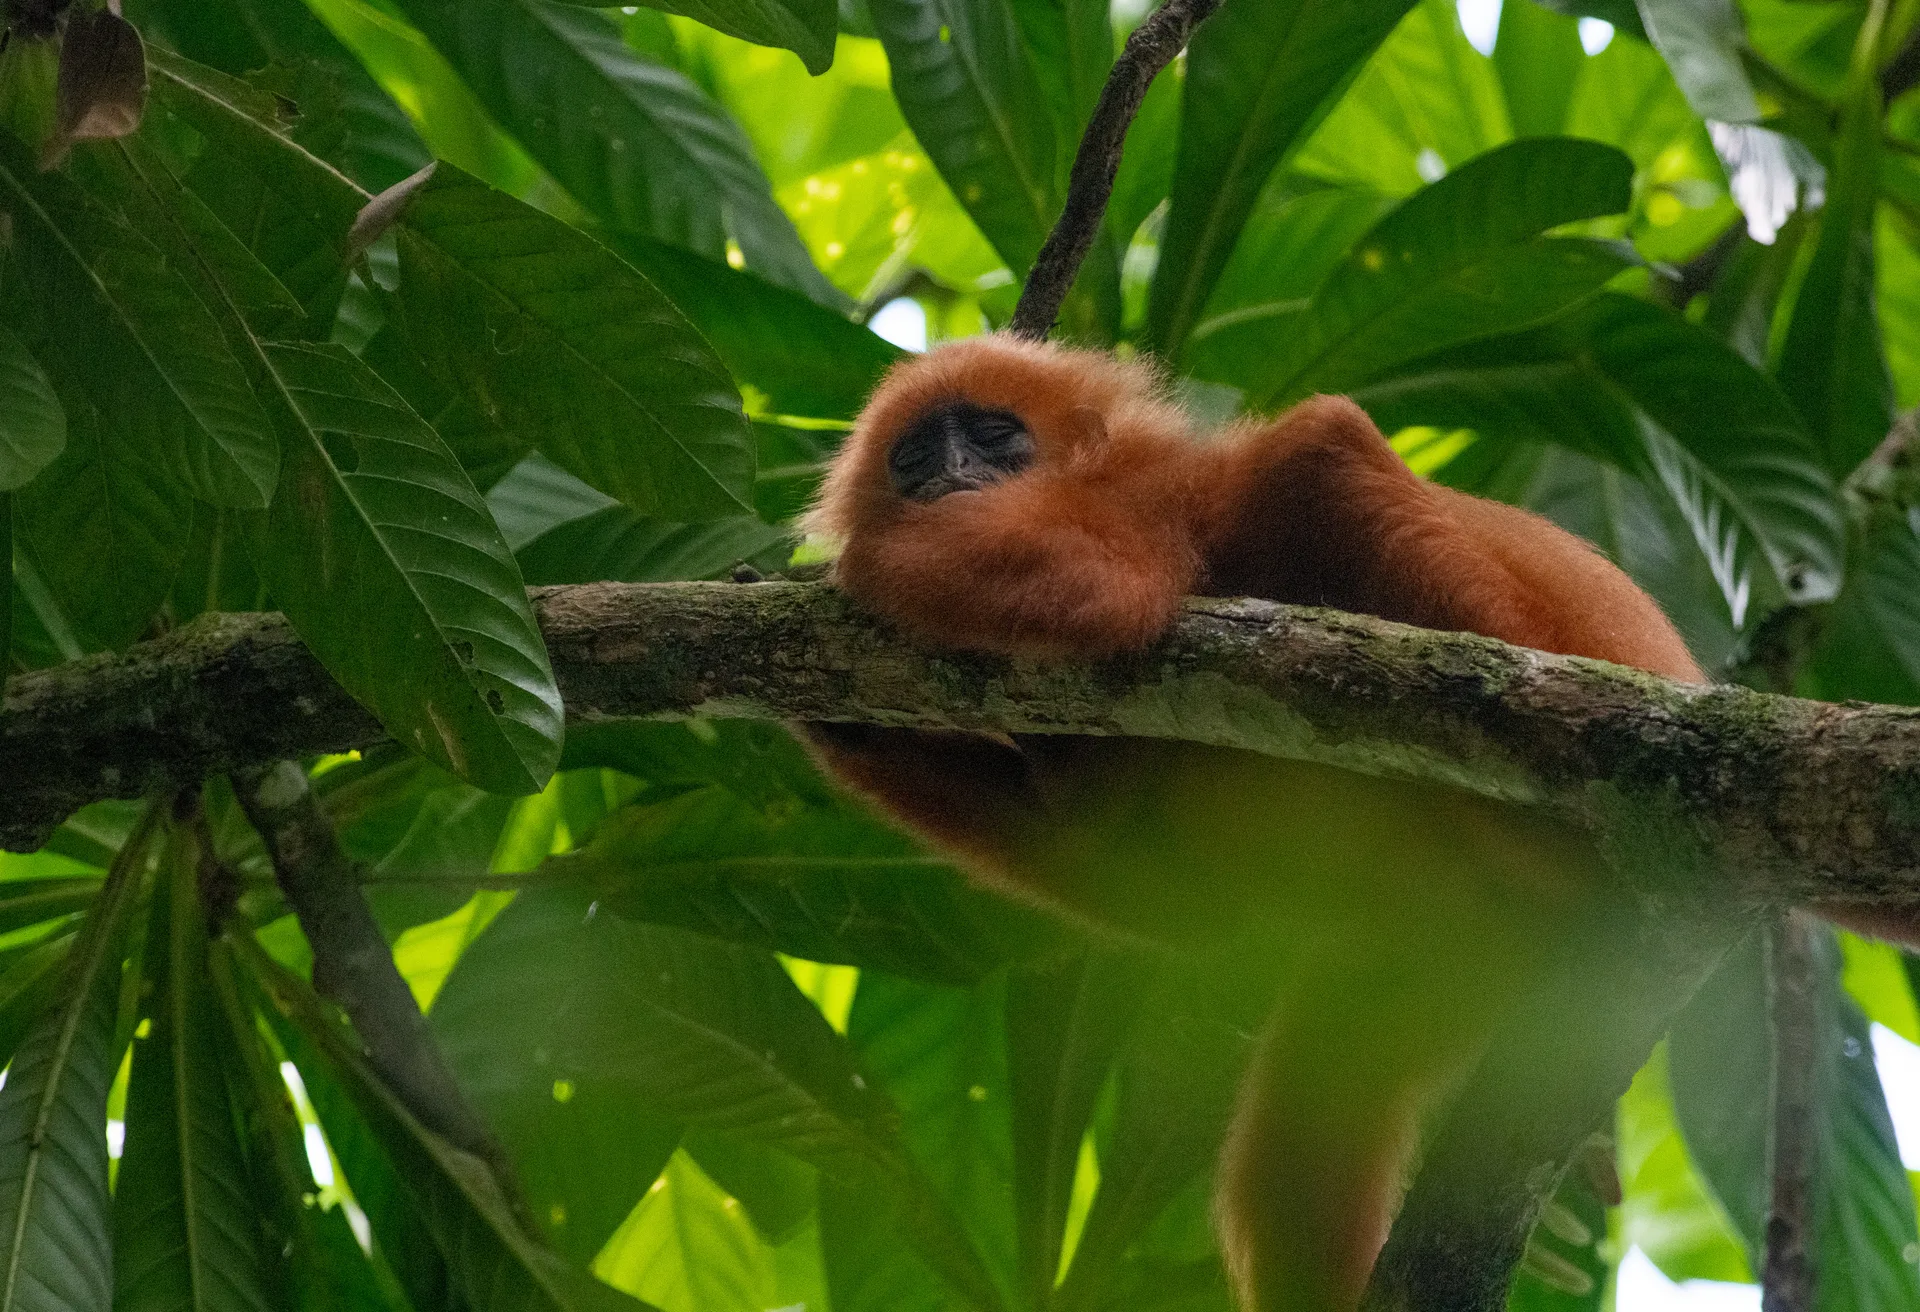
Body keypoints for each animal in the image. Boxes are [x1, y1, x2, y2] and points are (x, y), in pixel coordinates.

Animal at [797, 333, 1904, 1312]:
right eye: (914, 455)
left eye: (993, 435)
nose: (950, 478)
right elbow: (1148, 878)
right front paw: (832, 714)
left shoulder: (1147, 495)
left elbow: (1108, 594)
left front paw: (852, 565)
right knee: (1301, 1135)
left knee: (1312, 449)